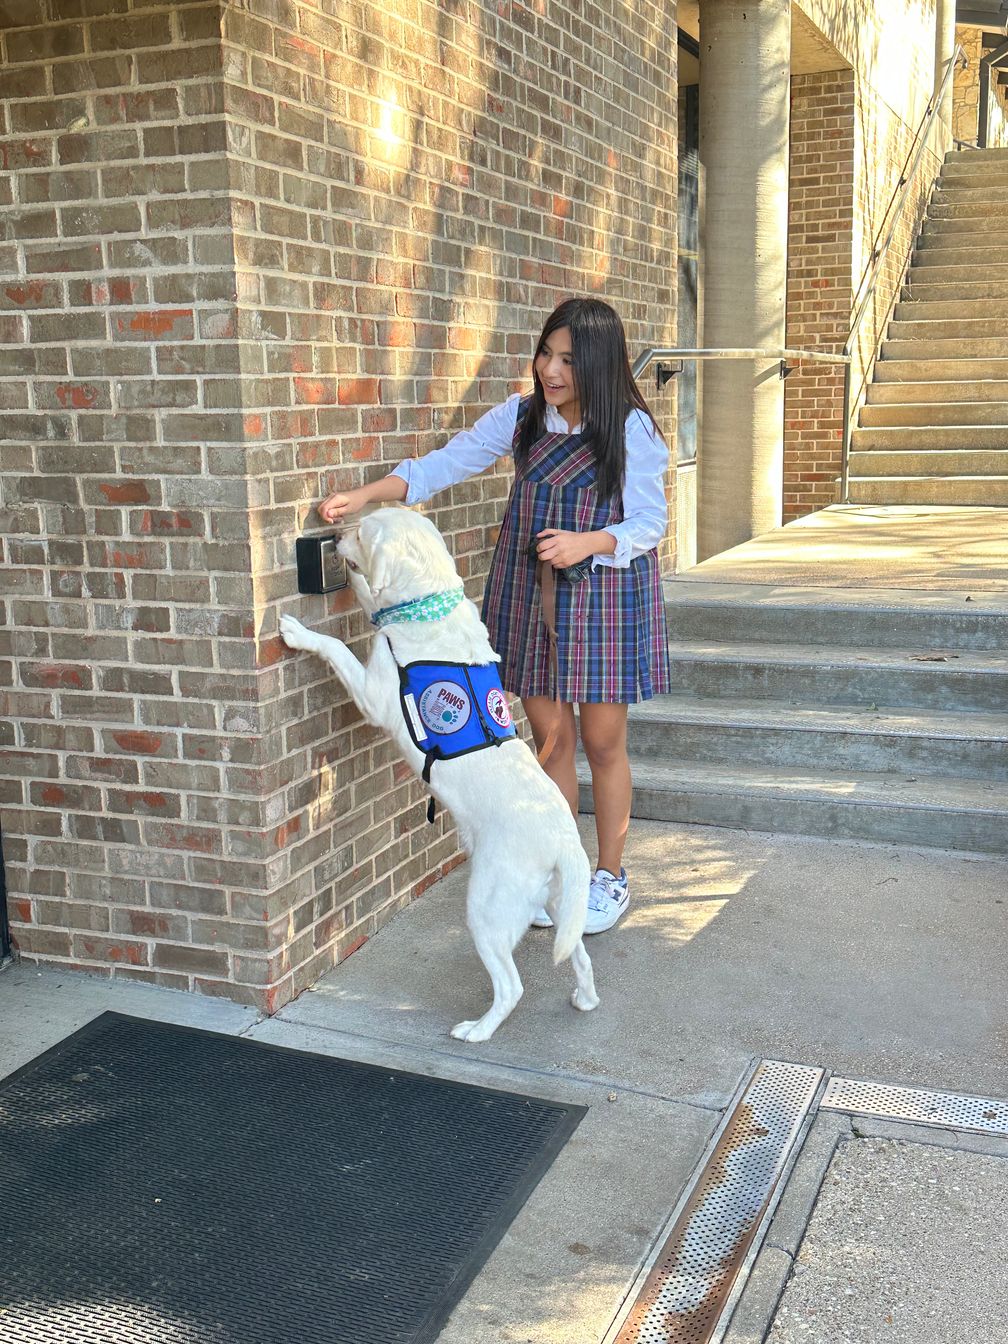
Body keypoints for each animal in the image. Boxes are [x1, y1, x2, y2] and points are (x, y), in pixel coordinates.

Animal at [280, 505, 599, 1037]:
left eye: (362, 532)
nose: (338, 534)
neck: (429, 602)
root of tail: (566, 843)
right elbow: (371, 599)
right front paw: (357, 582)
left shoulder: (374, 696)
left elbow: (337, 648)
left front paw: (300, 633)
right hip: (560, 904)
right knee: (581, 957)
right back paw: (585, 1000)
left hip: (486, 908)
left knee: (511, 986)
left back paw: (478, 1030)